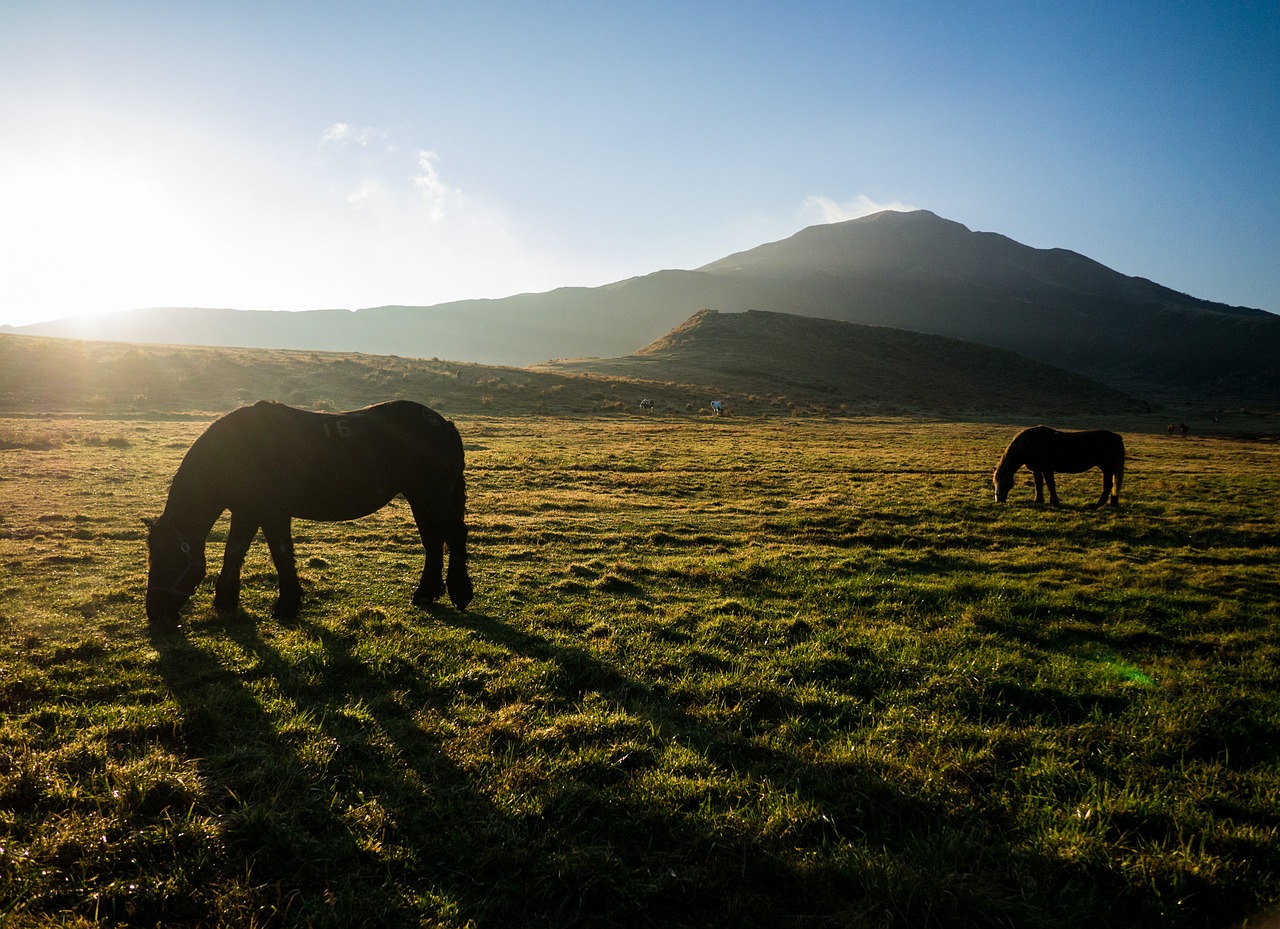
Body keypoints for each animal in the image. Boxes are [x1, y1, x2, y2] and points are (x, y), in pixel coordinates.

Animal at [145, 399, 473, 627]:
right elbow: (234, 552)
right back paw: (426, 593)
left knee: (455, 534)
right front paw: (226, 603)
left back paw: (460, 593)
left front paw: (287, 604)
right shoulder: (247, 511)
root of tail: (443, 423)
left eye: (168, 559)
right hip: (422, 499)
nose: (155, 615)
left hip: (431, 497)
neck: (237, 450)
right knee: (433, 542)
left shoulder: (272, 512)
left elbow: (280, 553)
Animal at [993, 424, 1126, 506]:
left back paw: (1097, 505)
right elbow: (1038, 484)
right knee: (1114, 485)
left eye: (1004, 482)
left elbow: (1050, 484)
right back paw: (1113, 503)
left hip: (1107, 468)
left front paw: (1054, 502)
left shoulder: (1047, 469)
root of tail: (1116, 437)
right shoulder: (1036, 469)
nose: (998, 500)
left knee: (1108, 485)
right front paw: (1038, 500)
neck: (1029, 444)